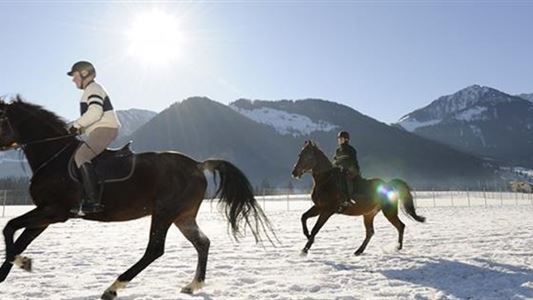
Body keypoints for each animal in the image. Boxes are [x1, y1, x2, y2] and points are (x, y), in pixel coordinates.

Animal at [0, 97, 274, 298]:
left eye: (0, 117)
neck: (54, 156)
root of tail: (197, 165)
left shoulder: (55, 212)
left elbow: (9, 227)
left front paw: (22, 263)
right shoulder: (46, 215)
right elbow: (19, 238)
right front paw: (11, 269)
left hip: (164, 213)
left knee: (155, 250)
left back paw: (113, 287)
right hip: (182, 216)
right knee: (202, 243)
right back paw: (193, 285)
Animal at [290, 141, 424, 255]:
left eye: (308, 157)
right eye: (299, 155)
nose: (294, 173)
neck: (326, 180)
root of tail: (389, 185)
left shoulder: (327, 211)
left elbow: (315, 229)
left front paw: (305, 249)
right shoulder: (319, 207)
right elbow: (303, 217)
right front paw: (307, 237)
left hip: (388, 212)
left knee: (400, 226)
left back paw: (398, 247)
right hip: (368, 214)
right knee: (370, 232)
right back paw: (359, 251)